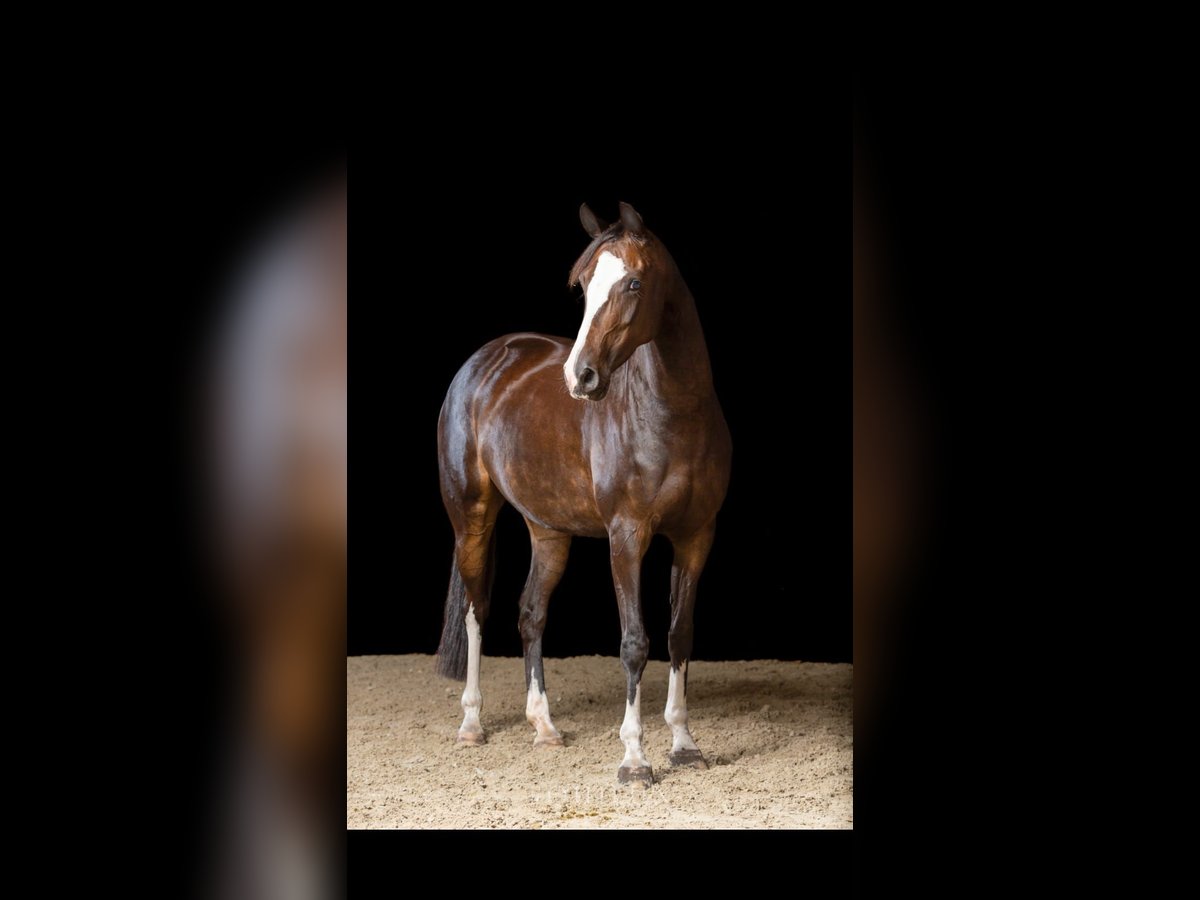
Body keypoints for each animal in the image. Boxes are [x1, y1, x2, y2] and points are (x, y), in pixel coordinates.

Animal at [435, 201, 731, 787]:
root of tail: (485, 361)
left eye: (634, 282)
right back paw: (472, 723)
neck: (673, 417)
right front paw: (635, 758)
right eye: (582, 286)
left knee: (530, 612)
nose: (581, 376)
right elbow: (635, 643)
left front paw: (684, 744)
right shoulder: (627, 538)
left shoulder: (695, 537)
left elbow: (679, 636)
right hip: (472, 520)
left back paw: (544, 726)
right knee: (477, 612)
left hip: (549, 532)